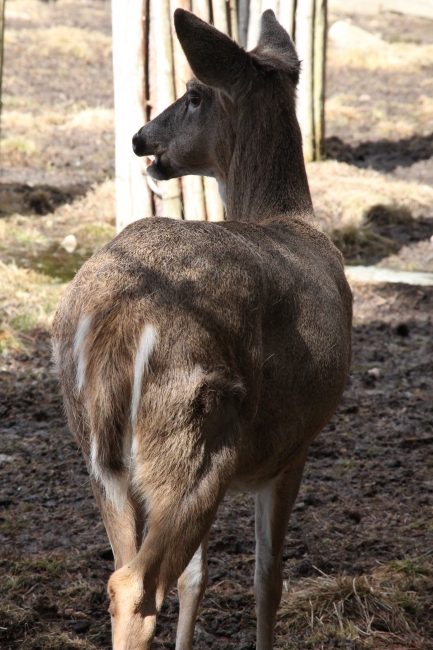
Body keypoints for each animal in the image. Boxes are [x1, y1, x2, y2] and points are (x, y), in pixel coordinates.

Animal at [53, 8, 352, 648]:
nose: (141, 137)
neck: (289, 217)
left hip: (102, 450)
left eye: (192, 95)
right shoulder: (295, 445)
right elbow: (268, 578)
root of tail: (123, 309)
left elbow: (198, 576)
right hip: (199, 429)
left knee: (131, 572)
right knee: (134, 585)